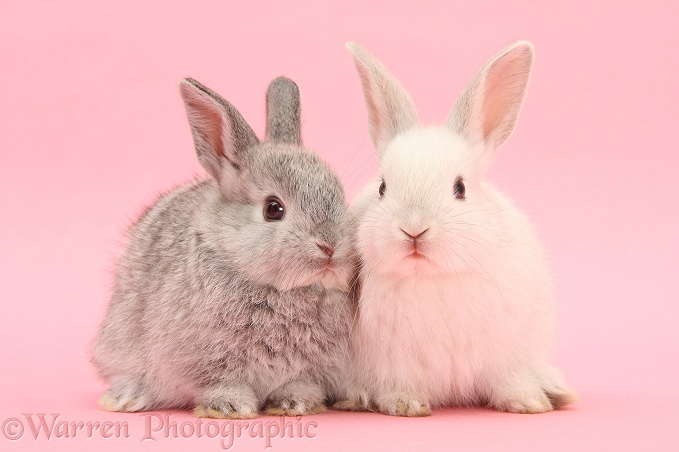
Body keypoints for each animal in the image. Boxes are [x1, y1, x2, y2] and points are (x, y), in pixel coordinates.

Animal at [93, 76, 358, 418]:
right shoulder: (208, 360)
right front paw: (232, 407)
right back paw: (126, 398)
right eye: (274, 209)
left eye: (340, 196)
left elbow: (299, 383)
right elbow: (222, 382)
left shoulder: (310, 367)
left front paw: (295, 403)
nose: (330, 245)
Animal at [338, 42, 576, 416]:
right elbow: (396, 386)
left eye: (460, 188)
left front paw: (529, 402)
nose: (414, 229)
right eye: (382, 188)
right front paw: (406, 405)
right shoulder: (392, 365)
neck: (430, 277)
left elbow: (510, 380)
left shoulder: (507, 355)